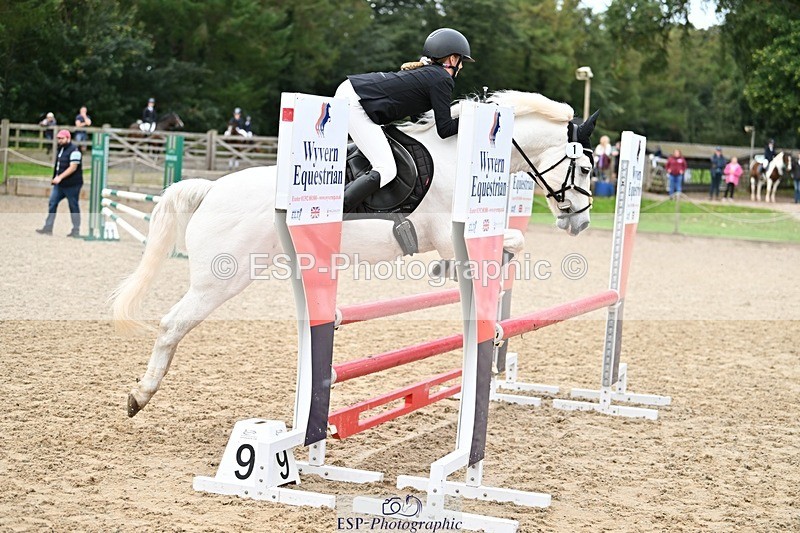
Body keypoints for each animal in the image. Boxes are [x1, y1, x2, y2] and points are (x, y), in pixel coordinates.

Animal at [112, 90, 598, 417]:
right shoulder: (450, 234)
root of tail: (211, 189)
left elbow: (511, 246)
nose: (581, 223)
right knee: (172, 324)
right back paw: (140, 395)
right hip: (220, 279)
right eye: (588, 168)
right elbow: (511, 245)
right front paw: (456, 272)